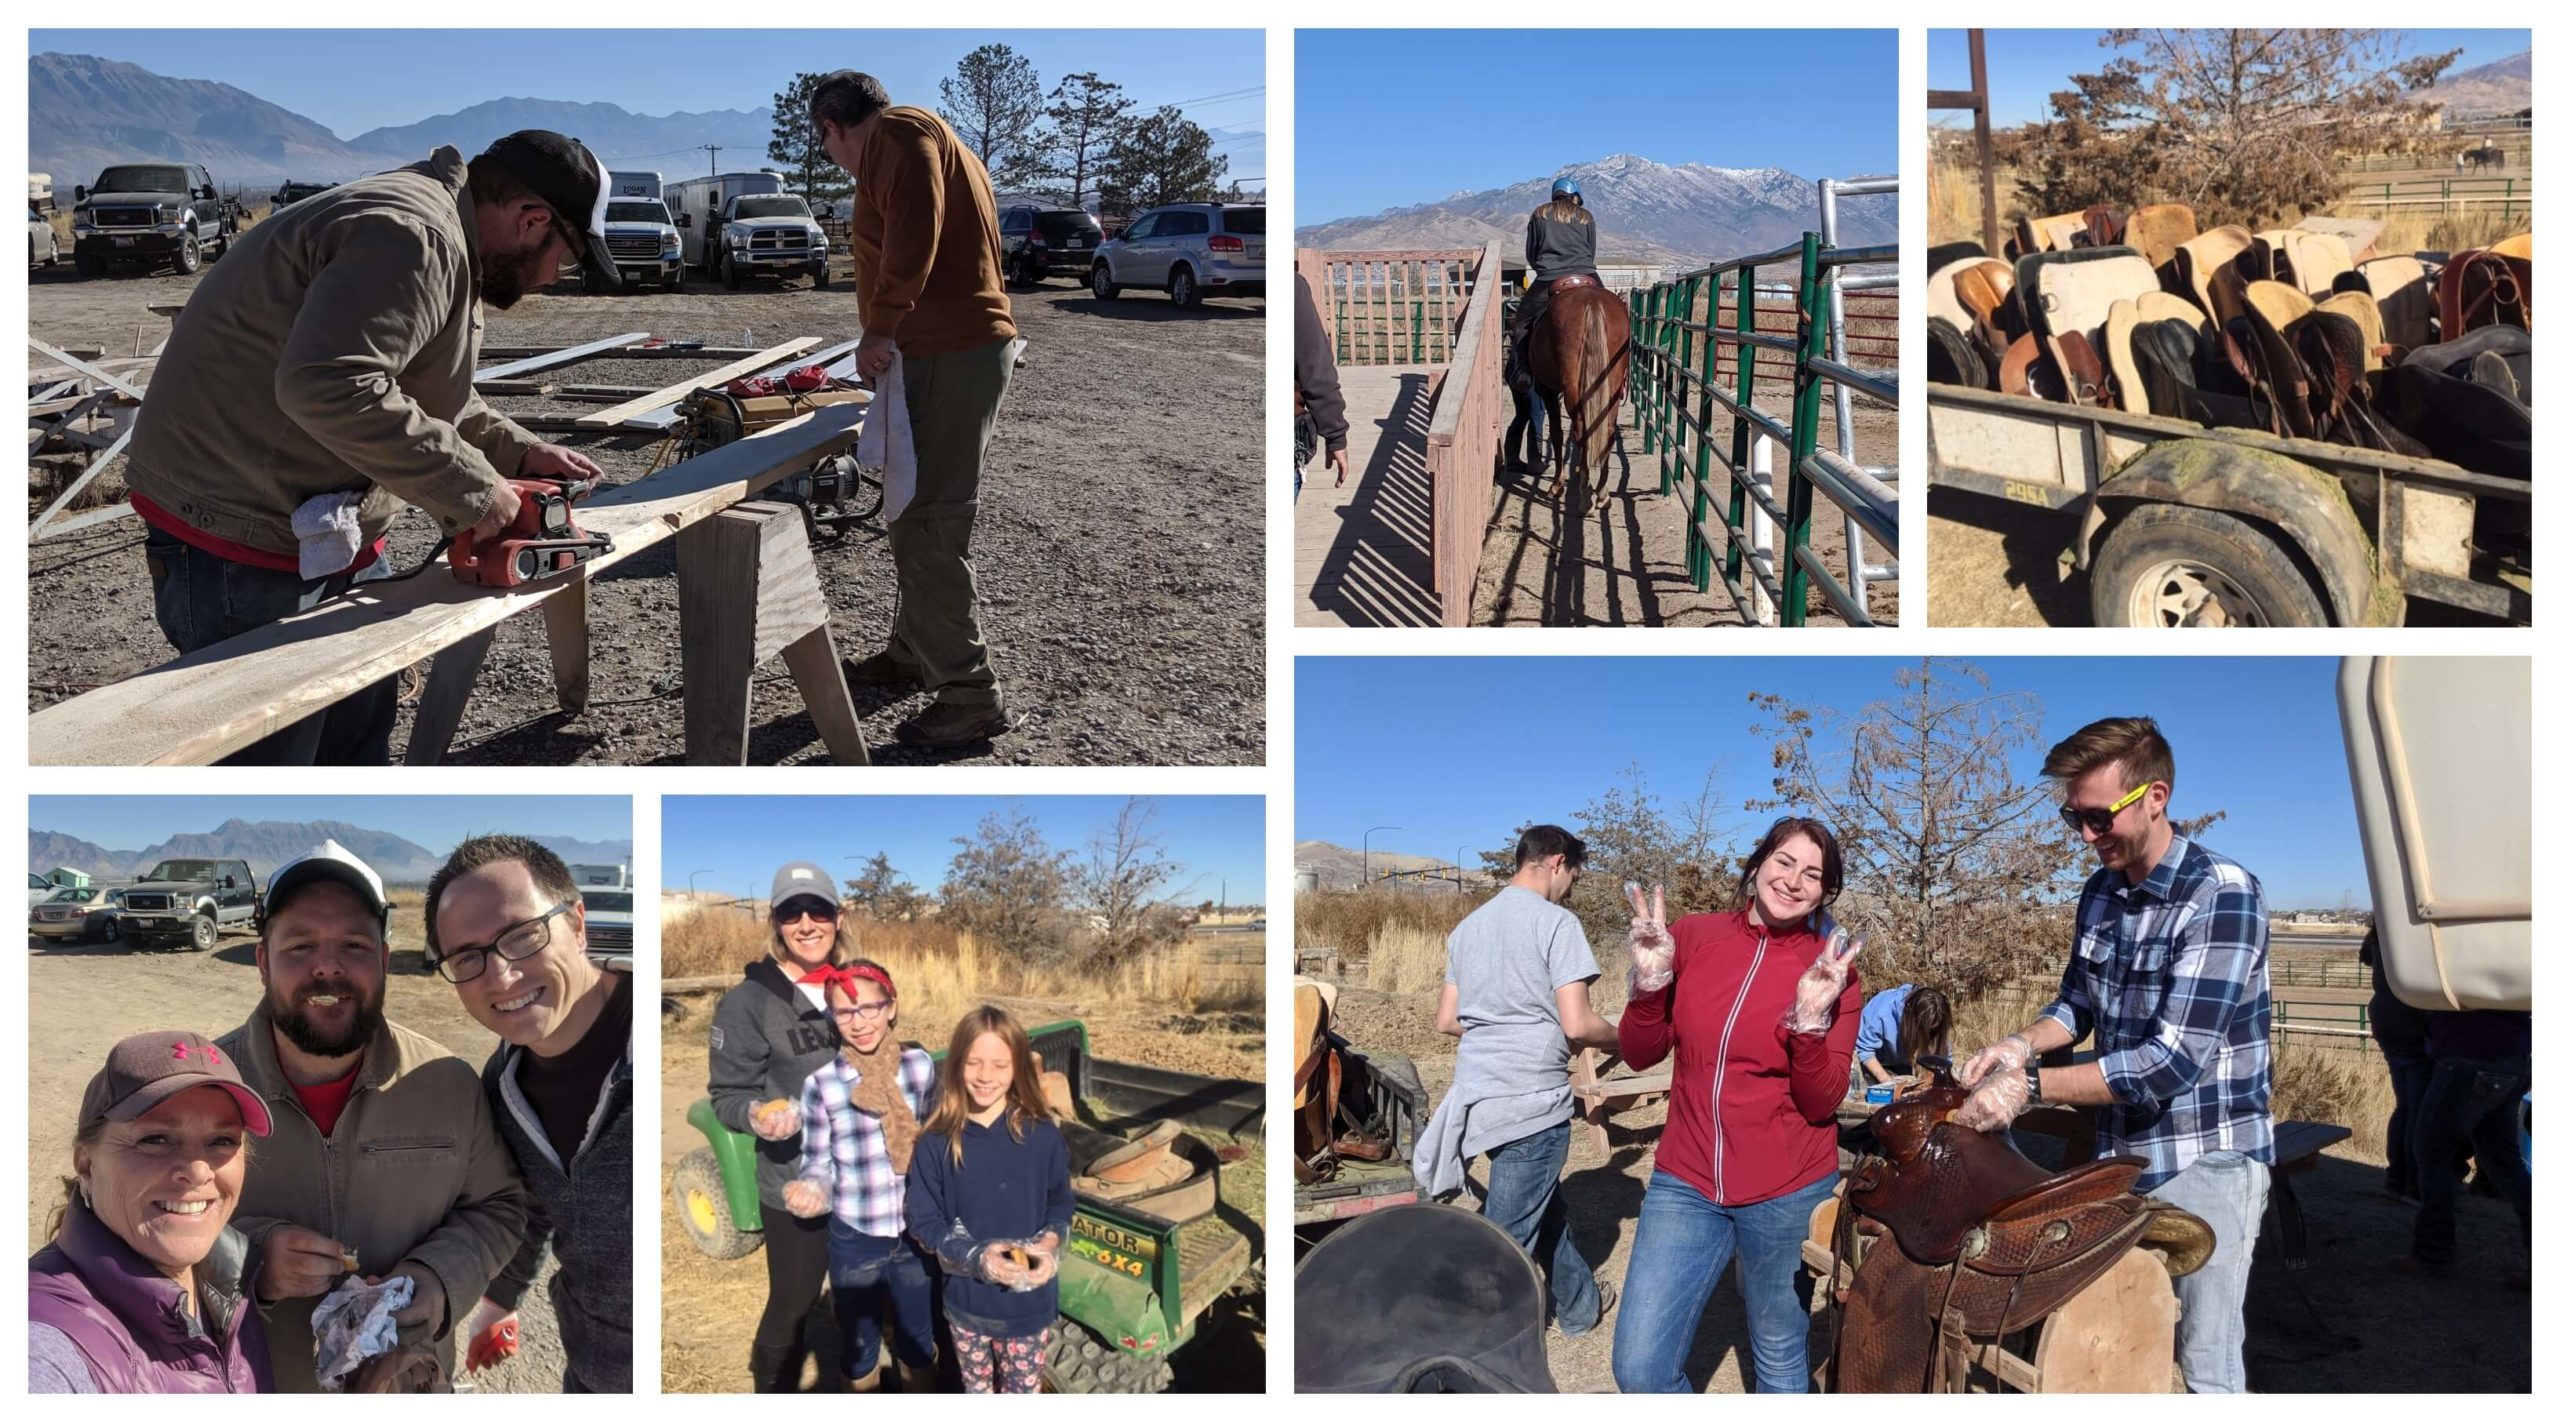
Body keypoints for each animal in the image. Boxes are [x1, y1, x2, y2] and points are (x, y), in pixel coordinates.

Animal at [1515, 275, 1638, 504]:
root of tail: (1591, 302)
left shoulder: (1547, 388)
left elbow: (1556, 433)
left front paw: (1557, 484)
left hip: (1572, 384)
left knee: (1581, 429)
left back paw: (1585, 496)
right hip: (1613, 384)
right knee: (1607, 429)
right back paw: (1602, 492)